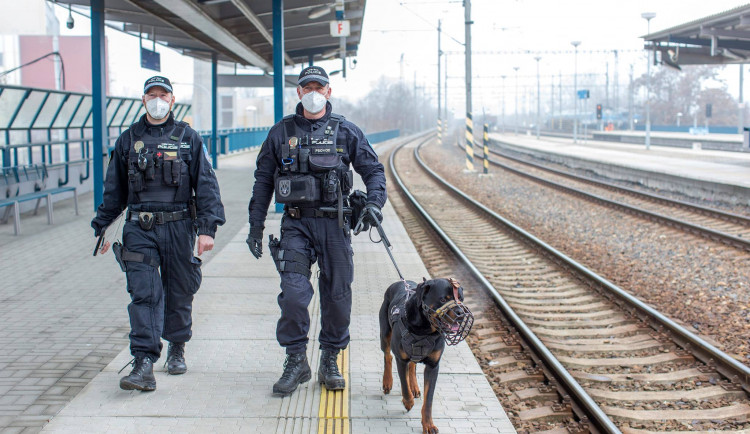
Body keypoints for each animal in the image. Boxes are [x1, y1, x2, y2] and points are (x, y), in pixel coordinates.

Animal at [378, 278, 472, 434]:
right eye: (442, 299)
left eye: (461, 299)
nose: (461, 313)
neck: (425, 329)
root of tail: (399, 282)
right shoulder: (401, 359)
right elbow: (404, 385)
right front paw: (408, 402)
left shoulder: (433, 366)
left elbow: (429, 400)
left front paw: (428, 425)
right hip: (385, 333)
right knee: (388, 356)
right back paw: (387, 382)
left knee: (412, 364)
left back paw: (415, 387)